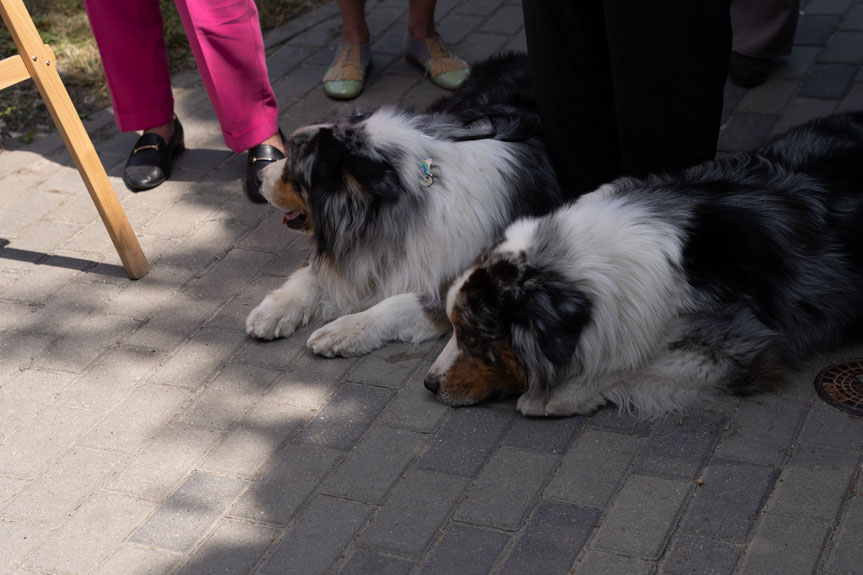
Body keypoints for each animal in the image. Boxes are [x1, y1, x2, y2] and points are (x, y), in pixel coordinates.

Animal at [246, 53, 564, 356]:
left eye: (293, 169)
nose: (259, 176)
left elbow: (396, 303)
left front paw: (341, 331)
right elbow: (312, 274)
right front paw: (274, 311)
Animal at [426, 112, 863, 418]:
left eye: (473, 338)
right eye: (455, 330)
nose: (429, 384)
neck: (583, 258)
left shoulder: (740, 343)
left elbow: (631, 365)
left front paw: (559, 396)